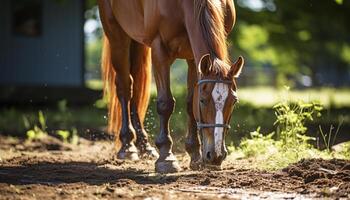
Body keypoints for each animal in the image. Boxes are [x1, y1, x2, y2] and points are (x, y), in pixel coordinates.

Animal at [97, 0, 245, 173]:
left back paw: (145, 146)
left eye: (234, 101)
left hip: (139, 43)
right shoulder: (159, 50)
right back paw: (127, 146)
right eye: (203, 101)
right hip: (118, 38)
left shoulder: (193, 57)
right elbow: (165, 103)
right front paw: (166, 156)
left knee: (136, 90)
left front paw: (194, 154)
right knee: (125, 88)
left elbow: (189, 104)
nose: (215, 155)